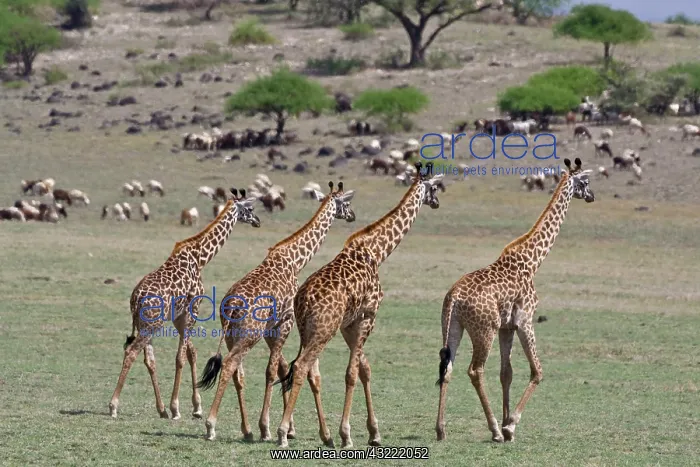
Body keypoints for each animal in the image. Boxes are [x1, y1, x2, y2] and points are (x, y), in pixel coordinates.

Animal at [108, 188, 261, 420]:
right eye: (250, 208)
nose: (258, 221)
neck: (201, 257)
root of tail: (135, 299)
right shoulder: (193, 308)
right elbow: (180, 357)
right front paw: (176, 408)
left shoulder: (179, 316)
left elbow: (190, 353)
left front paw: (196, 406)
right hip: (151, 324)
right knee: (131, 352)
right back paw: (114, 405)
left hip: (147, 324)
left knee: (148, 359)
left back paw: (160, 409)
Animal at [197, 181, 357, 442]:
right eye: (347, 203)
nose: (352, 215)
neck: (295, 260)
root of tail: (230, 305)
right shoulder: (285, 321)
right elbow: (272, 370)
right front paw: (268, 428)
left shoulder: (271, 328)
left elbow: (280, 368)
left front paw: (283, 428)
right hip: (249, 334)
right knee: (229, 364)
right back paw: (211, 426)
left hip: (231, 335)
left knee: (237, 371)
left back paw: (246, 430)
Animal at [275, 162, 445, 449]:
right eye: (434, 187)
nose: (437, 203)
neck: (376, 252)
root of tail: (303, 299)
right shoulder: (368, 316)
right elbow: (352, 373)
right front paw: (347, 434)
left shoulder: (350, 323)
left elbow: (364, 369)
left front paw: (374, 433)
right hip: (323, 331)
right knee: (300, 367)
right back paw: (283, 432)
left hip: (308, 331)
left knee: (310, 371)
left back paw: (323, 436)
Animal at [435, 158, 595, 443]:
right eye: (585, 181)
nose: (592, 196)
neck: (533, 262)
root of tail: (454, 297)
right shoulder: (524, 320)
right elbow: (537, 371)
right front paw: (510, 425)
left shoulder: (506, 328)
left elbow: (506, 373)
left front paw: (508, 421)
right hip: (483, 330)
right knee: (475, 370)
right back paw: (495, 431)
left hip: (453, 326)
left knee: (448, 367)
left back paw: (441, 429)